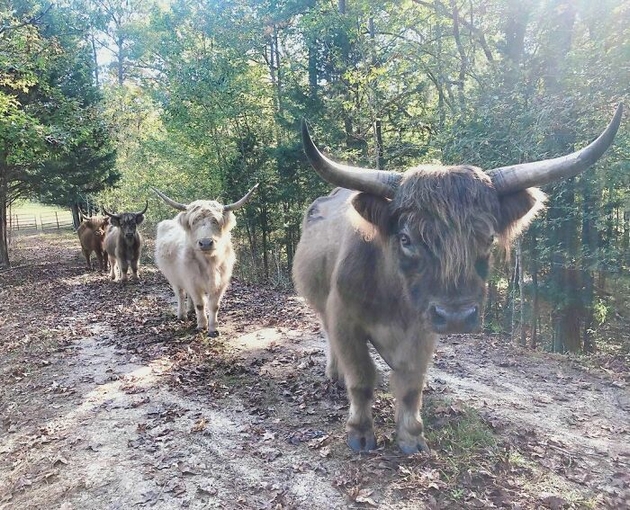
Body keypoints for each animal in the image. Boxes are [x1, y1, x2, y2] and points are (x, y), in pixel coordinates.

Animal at [294, 104, 624, 454]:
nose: (456, 316)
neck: (394, 298)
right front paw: (359, 432)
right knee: (329, 339)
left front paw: (411, 435)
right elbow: (361, 378)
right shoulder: (345, 320)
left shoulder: (422, 330)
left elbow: (410, 382)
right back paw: (335, 374)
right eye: (406, 238)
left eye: (489, 238)